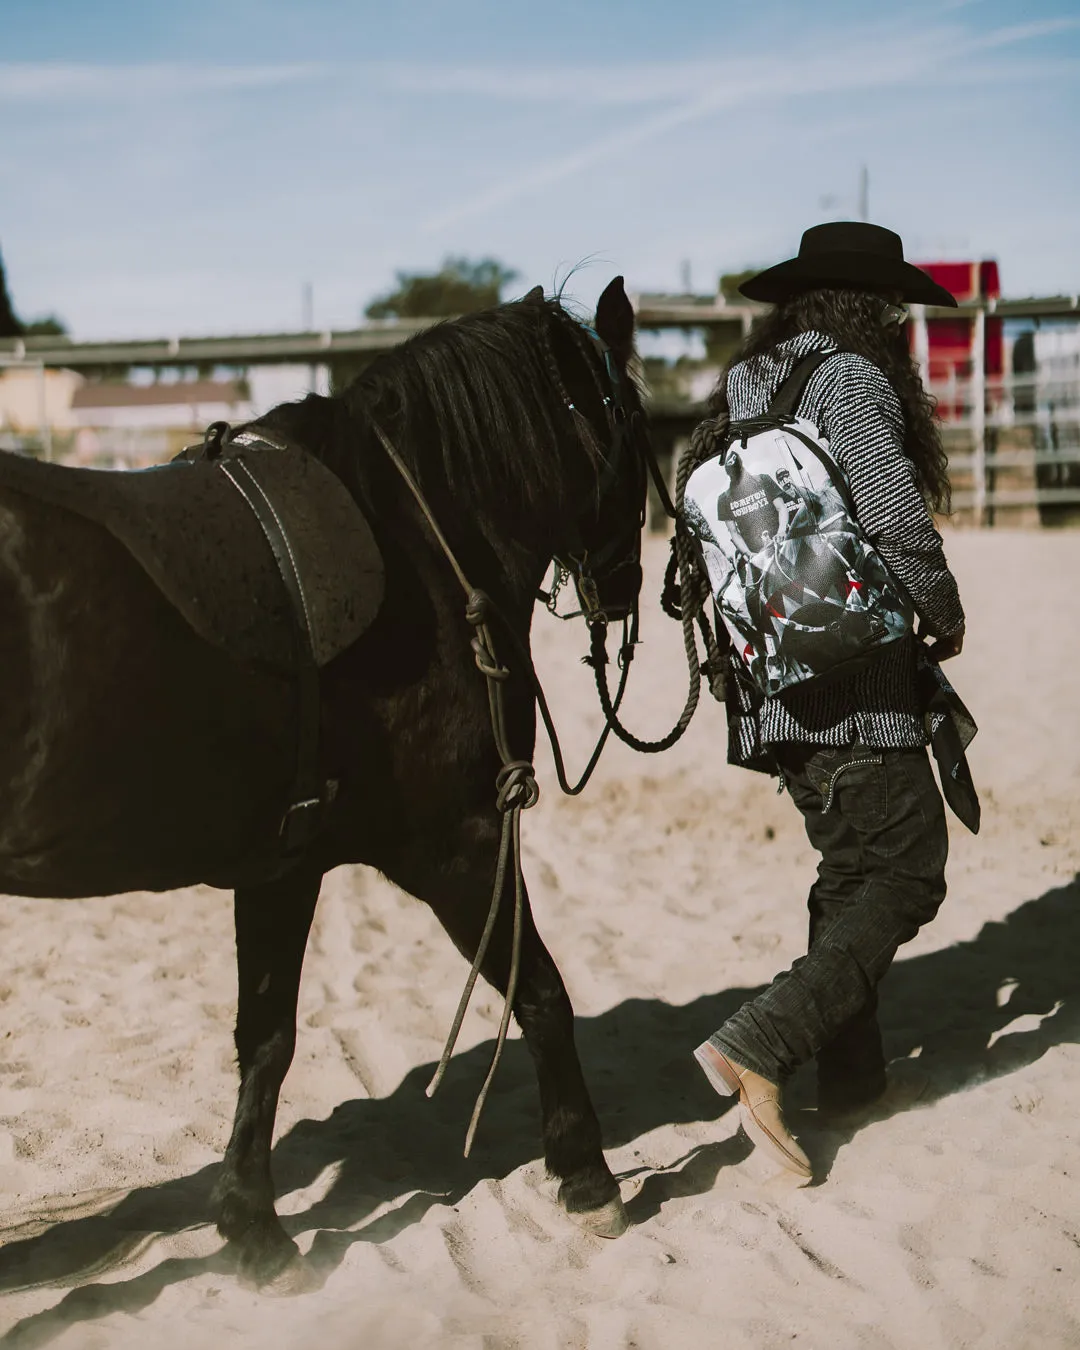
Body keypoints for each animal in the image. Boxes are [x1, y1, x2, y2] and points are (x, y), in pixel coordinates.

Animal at [0, 279, 650, 1290]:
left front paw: (252, 1226)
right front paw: (585, 1173)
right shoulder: (457, 845)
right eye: (642, 429)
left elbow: (264, 1039)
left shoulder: (281, 865)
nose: (631, 588)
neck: (416, 538)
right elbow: (539, 993)